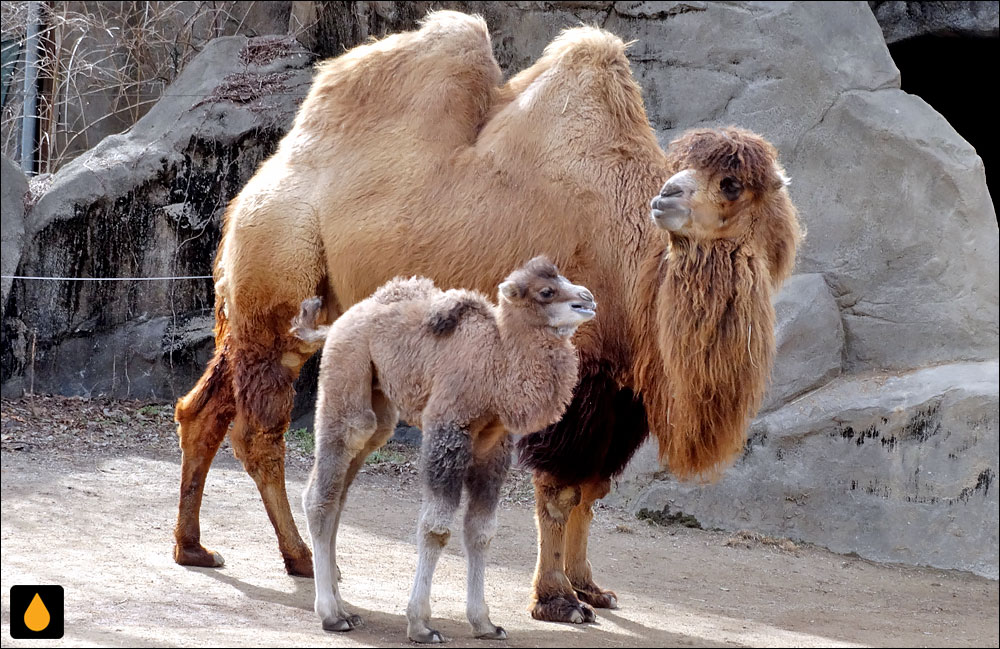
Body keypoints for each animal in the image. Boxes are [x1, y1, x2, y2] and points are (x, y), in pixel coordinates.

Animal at [292, 256, 596, 640]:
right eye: (546, 291)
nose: (588, 298)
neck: (497, 363)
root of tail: (336, 324)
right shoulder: (447, 427)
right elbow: (436, 528)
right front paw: (421, 625)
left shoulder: (494, 445)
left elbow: (481, 532)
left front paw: (485, 624)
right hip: (348, 372)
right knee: (327, 482)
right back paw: (331, 615)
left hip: (379, 404)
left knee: (342, 492)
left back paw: (345, 609)